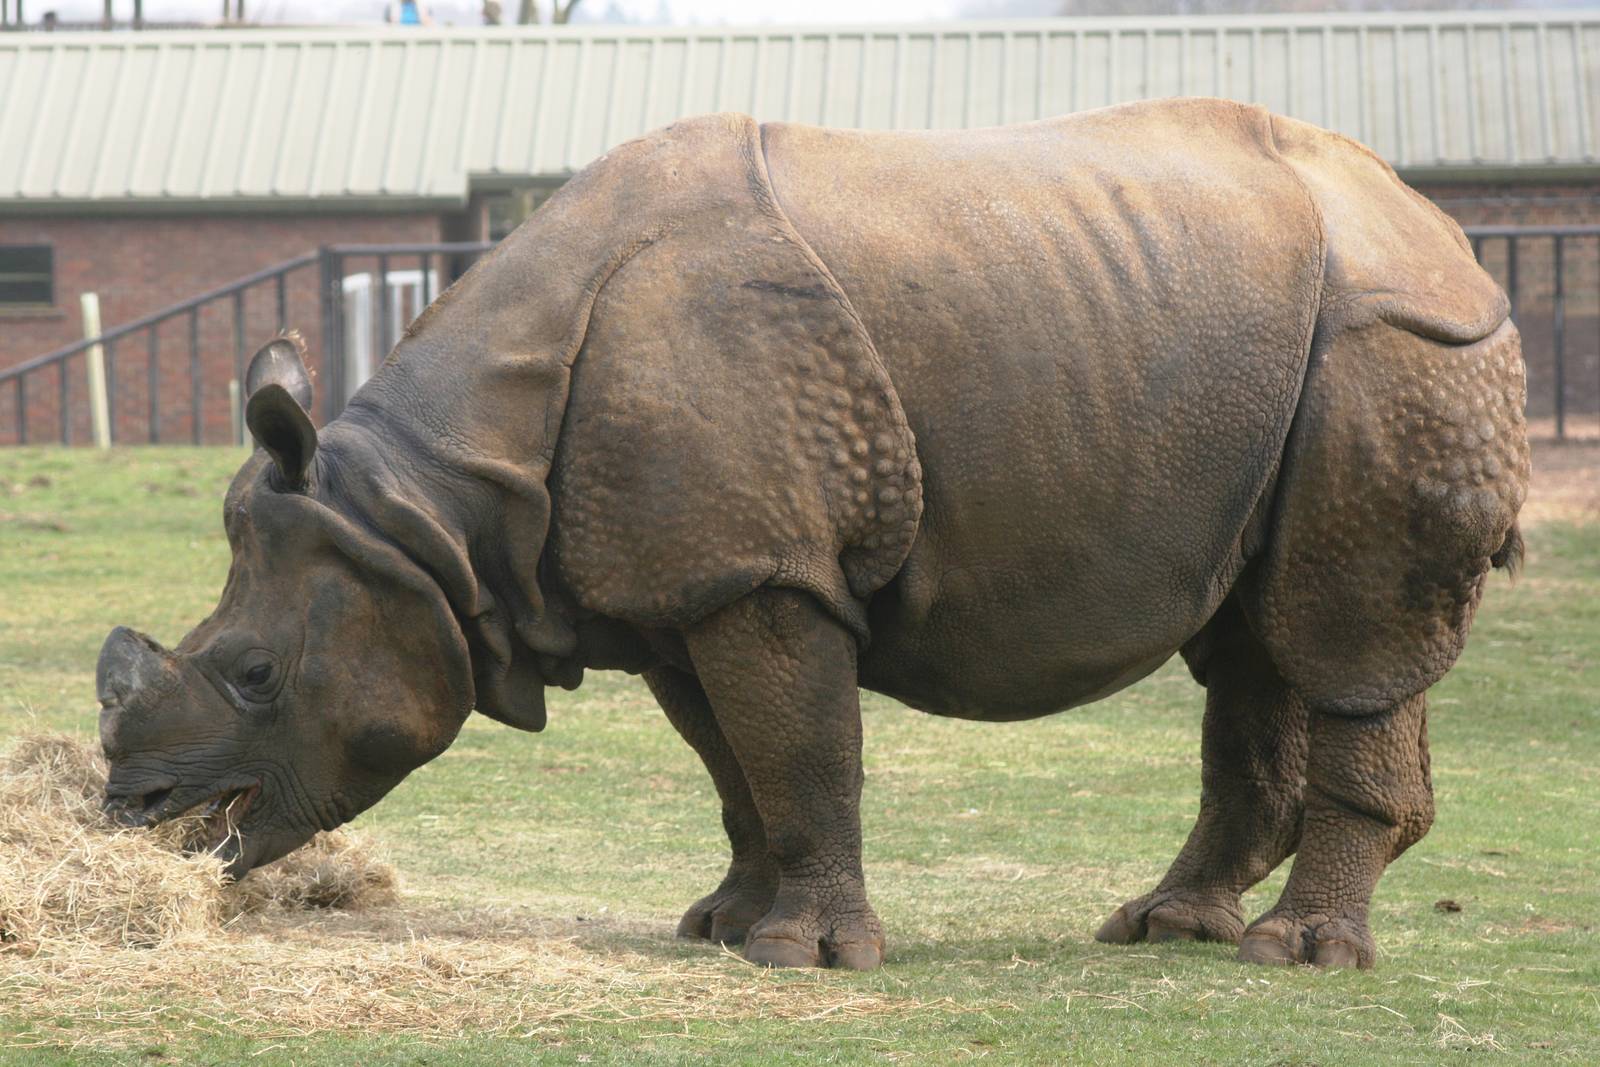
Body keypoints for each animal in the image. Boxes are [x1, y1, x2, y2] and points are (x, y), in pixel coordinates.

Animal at [96, 99, 1528, 971]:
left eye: (255, 673)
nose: (133, 811)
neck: (424, 514)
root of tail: (1446, 231)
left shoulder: (760, 570)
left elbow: (803, 749)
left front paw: (807, 957)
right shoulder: (685, 585)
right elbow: (740, 765)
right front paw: (726, 926)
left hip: (1392, 344)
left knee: (1343, 634)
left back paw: (1296, 954)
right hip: (1269, 360)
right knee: (1250, 635)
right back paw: (1164, 927)